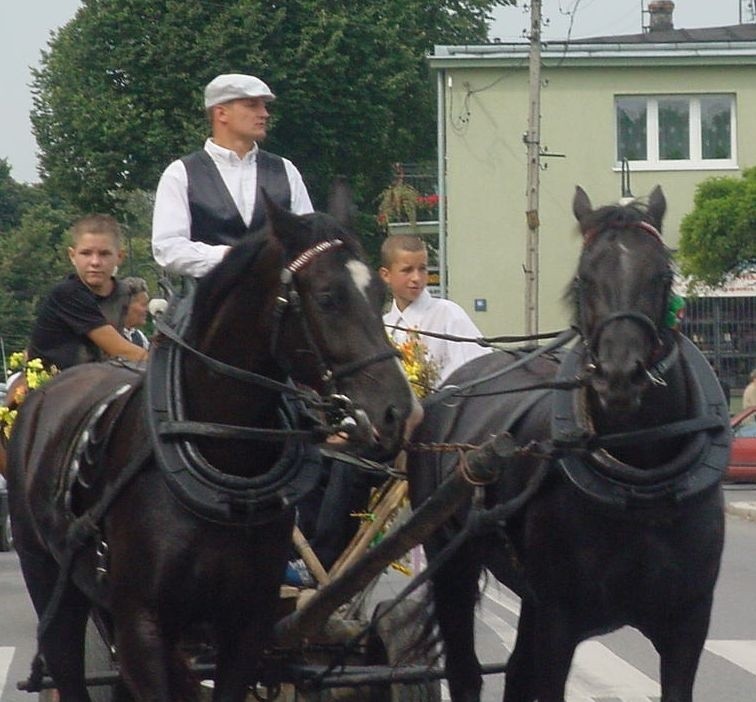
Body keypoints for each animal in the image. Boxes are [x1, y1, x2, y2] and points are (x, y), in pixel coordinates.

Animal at [7, 191, 420, 702]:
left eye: (379, 293)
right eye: (327, 297)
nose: (397, 412)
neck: (224, 455)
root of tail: (45, 394)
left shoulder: (246, 623)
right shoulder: (141, 622)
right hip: (48, 577)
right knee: (67, 661)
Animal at [408, 187, 732, 702]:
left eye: (662, 274)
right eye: (584, 278)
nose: (620, 376)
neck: (641, 482)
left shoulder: (688, 623)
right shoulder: (560, 621)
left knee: (516, 671)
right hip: (450, 560)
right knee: (465, 670)